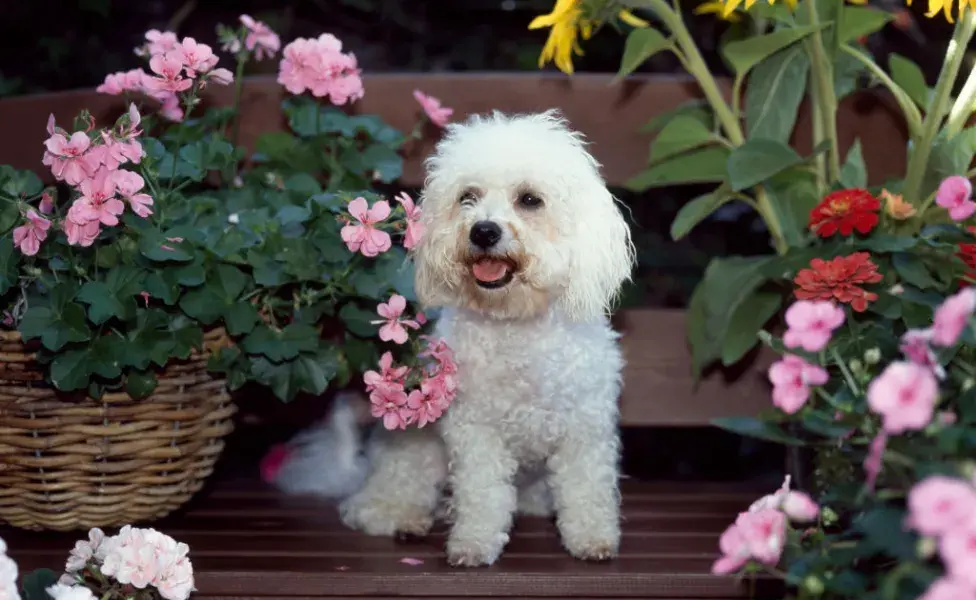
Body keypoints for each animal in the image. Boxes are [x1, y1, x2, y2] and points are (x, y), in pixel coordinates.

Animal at [274, 111, 640, 568]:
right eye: (468, 196)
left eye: (530, 200)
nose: (483, 231)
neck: (515, 322)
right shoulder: (476, 433)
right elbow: (482, 495)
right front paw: (475, 543)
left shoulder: (585, 430)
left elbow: (587, 491)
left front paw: (593, 539)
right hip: (416, 449)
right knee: (373, 504)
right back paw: (402, 518)